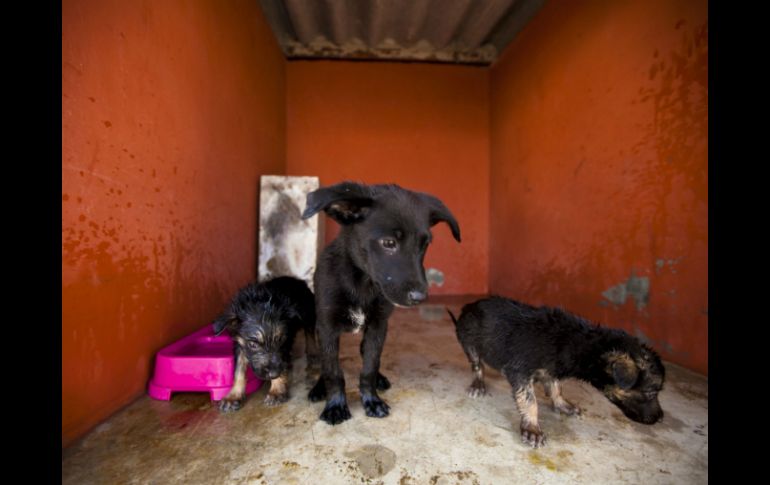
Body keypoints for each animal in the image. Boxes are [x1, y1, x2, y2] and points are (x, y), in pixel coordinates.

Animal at [213, 274, 316, 410]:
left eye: (280, 340)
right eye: (253, 345)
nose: (274, 374)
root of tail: (297, 280)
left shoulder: (286, 344)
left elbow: (282, 363)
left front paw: (276, 391)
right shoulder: (240, 346)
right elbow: (238, 371)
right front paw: (233, 395)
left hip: (308, 314)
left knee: (310, 332)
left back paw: (313, 352)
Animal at [300, 181, 460, 424]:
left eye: (424, 245)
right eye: (389, 243)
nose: (420, 297)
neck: (362, 283)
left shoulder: (378, 325)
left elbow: (370, 366)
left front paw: (372, 400)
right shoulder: (327, 327)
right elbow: (332, 371)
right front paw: (335, 405)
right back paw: (319, 388)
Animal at [448, 296, 664, 448]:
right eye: (651, 393)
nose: (661, 418)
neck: (576, 343)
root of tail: (468, 307)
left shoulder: (552, 370)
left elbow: (556, 388)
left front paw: (562, 404)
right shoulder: (519, 371)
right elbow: (530, 401)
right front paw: (532, 428)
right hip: (469, 341)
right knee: (477, 366)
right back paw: (478, 384)